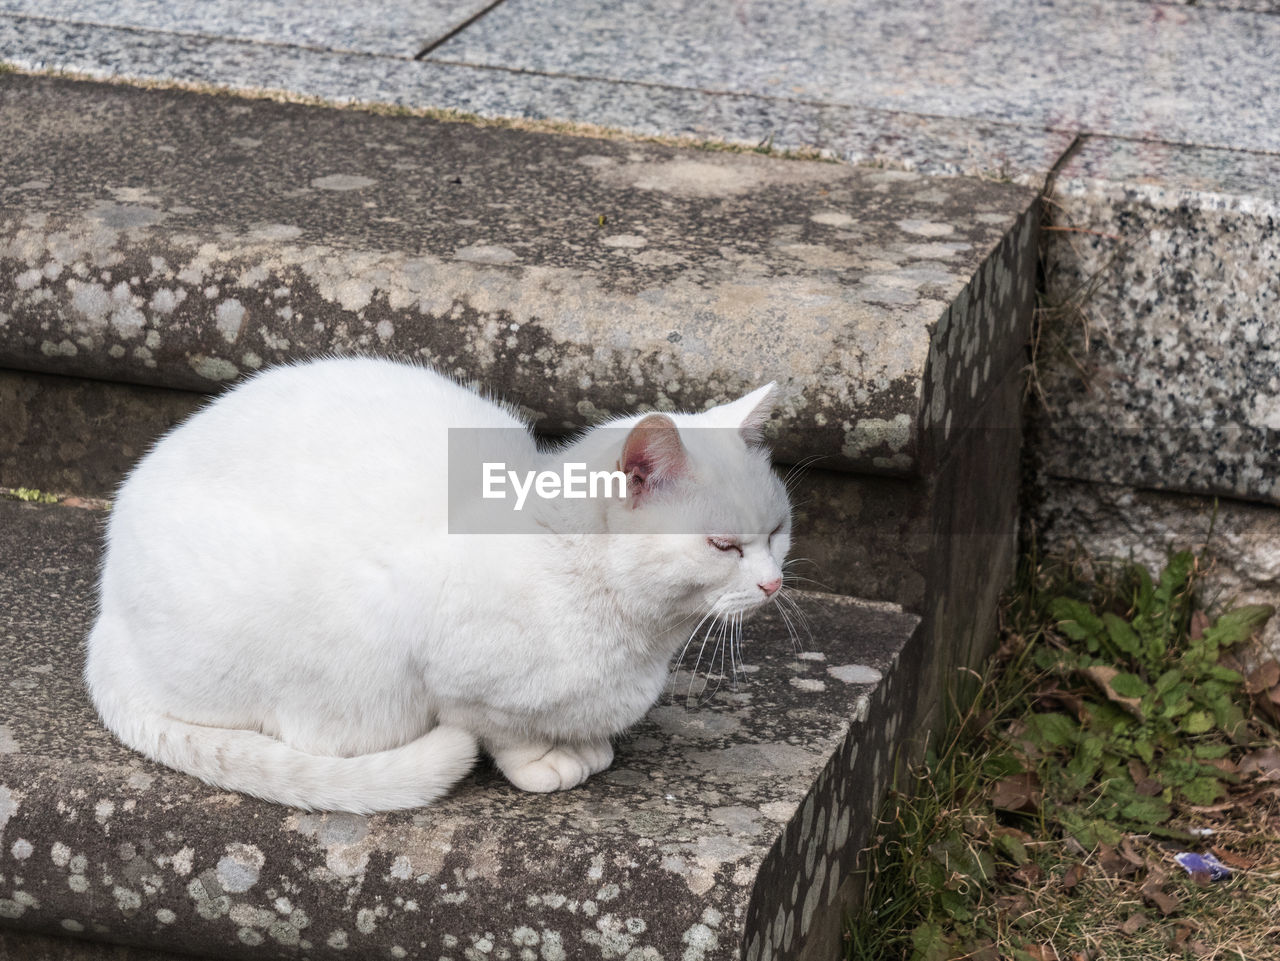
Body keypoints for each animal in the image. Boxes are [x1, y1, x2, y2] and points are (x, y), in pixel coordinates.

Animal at [85, 358, 788, 813]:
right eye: (723, 545)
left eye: (779, 530)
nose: (774, 584)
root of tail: (106, 624)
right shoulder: (453, 674)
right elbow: (498, 729)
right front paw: (547, 760)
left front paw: (586, 744)